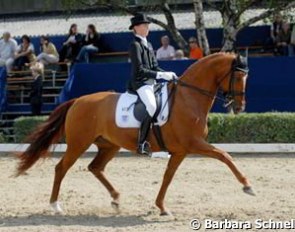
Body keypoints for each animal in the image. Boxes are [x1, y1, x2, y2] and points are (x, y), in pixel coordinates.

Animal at [16, 52, 256, 216]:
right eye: (238, 77)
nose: (240, 106)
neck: (188, 98)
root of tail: (78, 100)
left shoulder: (180, 151)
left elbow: (168, 177)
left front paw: (162, 207)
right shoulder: (194, 143)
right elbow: (225, 156)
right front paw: (248, 186)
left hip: (109, 145)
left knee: (95, 168)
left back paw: (116, 199)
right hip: (78, 143)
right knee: (61, 168)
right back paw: (56, 205)